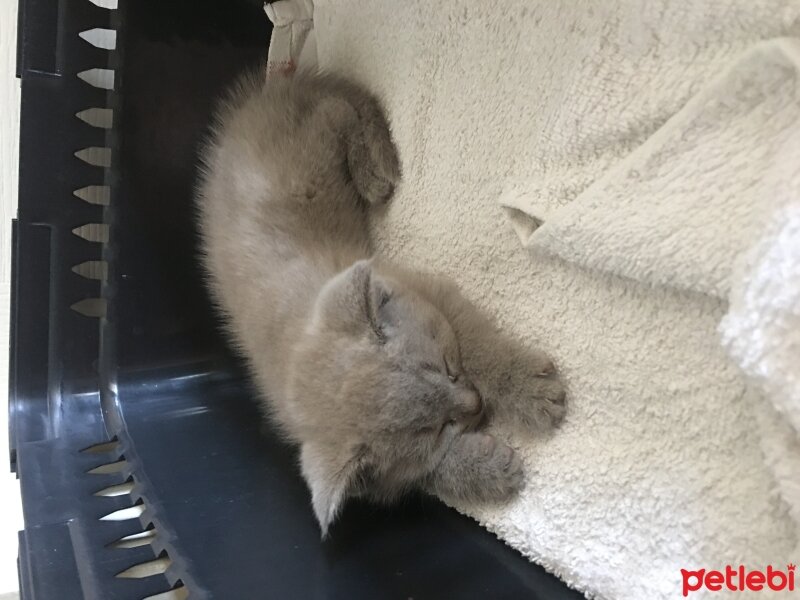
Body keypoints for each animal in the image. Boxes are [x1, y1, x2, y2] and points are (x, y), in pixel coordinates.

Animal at [197, 70, 564, 536]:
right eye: (438, 429)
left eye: (448, 367)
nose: (477, 404)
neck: (294, 346)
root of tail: (262, 97)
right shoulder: (386, 480)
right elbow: (419, 477)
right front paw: (489, 469)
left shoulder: (429, 289)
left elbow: (481, 345)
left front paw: (533, 394)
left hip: (314, 157)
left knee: (340, 105)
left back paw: (374, 172)